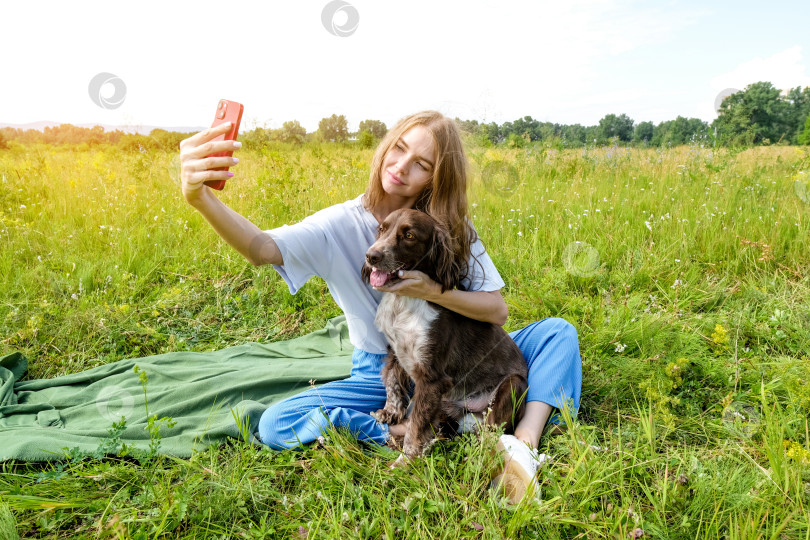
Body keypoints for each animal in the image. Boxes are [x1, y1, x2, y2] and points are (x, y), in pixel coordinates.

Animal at [362, 209, 528, 462]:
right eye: (382, 229)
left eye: (409, 235)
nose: (371, 256)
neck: (403, 302)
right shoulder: (395, 351)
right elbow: (393, 383)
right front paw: (390, 413)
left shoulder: (432, 378)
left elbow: (417, 426)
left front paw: (406, 461)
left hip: (513, 385)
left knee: (491, 434)